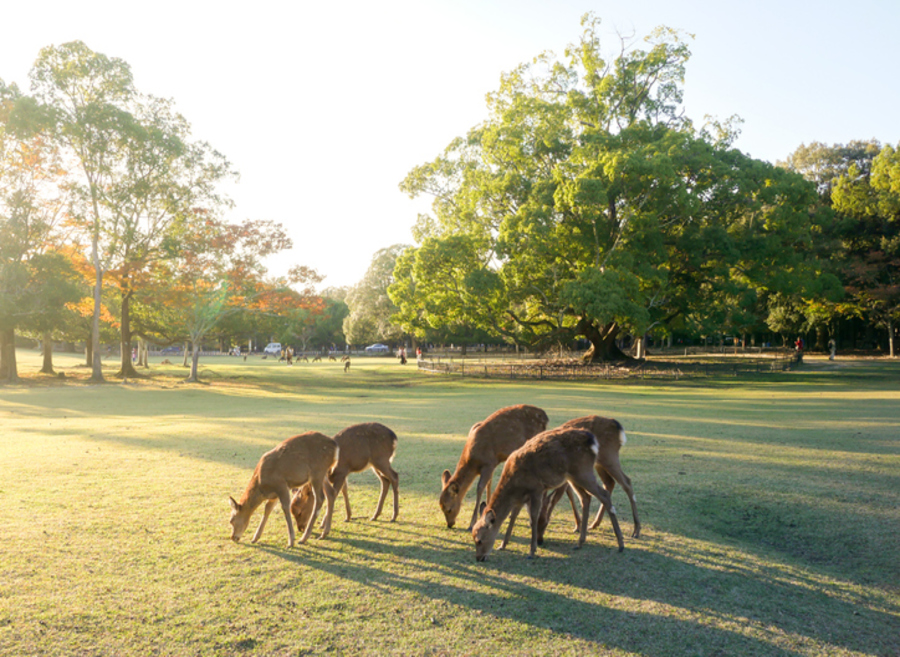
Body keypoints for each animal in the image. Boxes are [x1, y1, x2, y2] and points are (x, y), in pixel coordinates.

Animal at [438, 402, 548, 532]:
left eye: (449, 509)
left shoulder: (488, 463)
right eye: (441, 507)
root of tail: (546, 417)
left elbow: (480, 488)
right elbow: (489, 484)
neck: (473, 462)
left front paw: (471, 524)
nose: (450, 524)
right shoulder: (492, 464)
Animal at [472, 428, 624, 560]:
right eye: (473, 537)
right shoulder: (520, 498)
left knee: (604, 494)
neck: (514, 486)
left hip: (583, 471)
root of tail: (592, 440)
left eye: (479, 540)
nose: (479, 558)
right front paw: (502, 545)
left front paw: (531, 552)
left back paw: (620, 545)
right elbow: (513, 517)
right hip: (573, 477)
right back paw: (580, 543)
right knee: (585, 497)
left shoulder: (537, 489)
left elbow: (533, 518)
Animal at [536, 416, 640, 544]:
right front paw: (578, 526)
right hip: (598, 462)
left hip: (609, 456)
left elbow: (560, 497)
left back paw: (636, 531)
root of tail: (617, 425)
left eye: (542, 521)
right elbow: (570, 494)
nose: (539, 541)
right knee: (609, 482)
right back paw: (595, 524)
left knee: (627, 482)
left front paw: (578, 526)